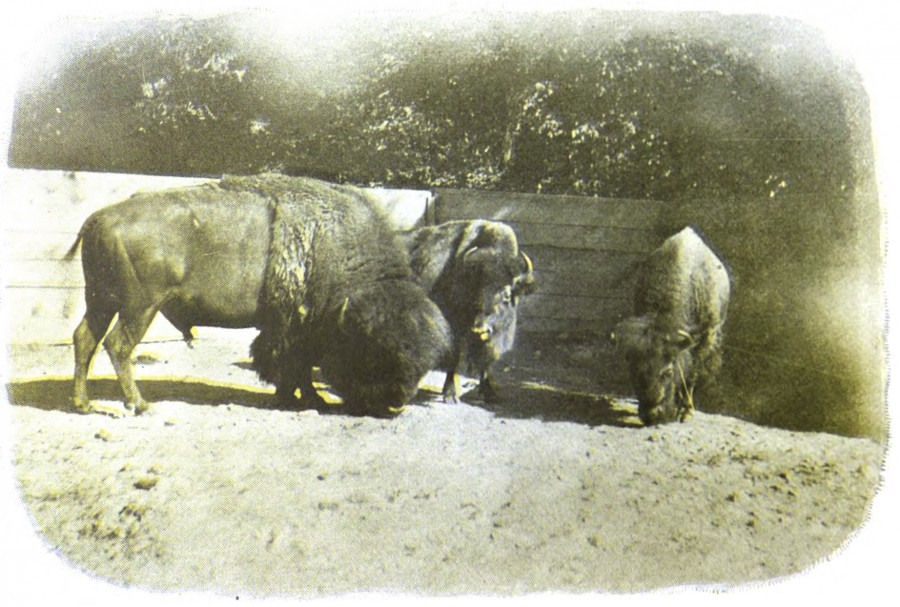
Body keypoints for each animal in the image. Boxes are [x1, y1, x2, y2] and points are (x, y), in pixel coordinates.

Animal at [66, 174, 451, 417]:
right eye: (373, 351)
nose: (395, 405)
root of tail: (100, 218)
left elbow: (294, 366)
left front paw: (302, 398)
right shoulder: (293, 328)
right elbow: (293, 365)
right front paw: (305, 399)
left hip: (101, 301)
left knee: (85, 338)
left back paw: (84, 404)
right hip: (139, 306)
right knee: (118, 345)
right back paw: (140, 405)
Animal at [399, 220, 536, 403]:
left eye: (507, 295)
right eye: (477, 290)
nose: (480, 328)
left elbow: (485, 361)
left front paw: (490, 393)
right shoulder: (455, 328)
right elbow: (455, 357)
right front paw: (450, 395)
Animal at [612, 226, 731, 425]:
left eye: (667, 372)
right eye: (634, 370)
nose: (652, 416)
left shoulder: (704, 339)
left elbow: (691, 375)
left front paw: (686, 412)